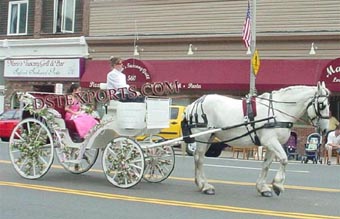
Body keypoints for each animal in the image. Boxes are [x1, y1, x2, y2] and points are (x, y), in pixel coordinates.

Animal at [185, 82, 330, 197]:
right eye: (322, 105)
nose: (325, 130)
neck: (279, 111)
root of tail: (195, 103)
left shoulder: (273, 144)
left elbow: (266, 165)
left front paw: (263, 188)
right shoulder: (270, 141)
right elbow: (284, 159)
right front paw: (277, 185)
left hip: (208, 137)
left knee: (199, 158)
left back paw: (200, 184)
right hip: (202, 135)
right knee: (199, 159)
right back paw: (205, 186)